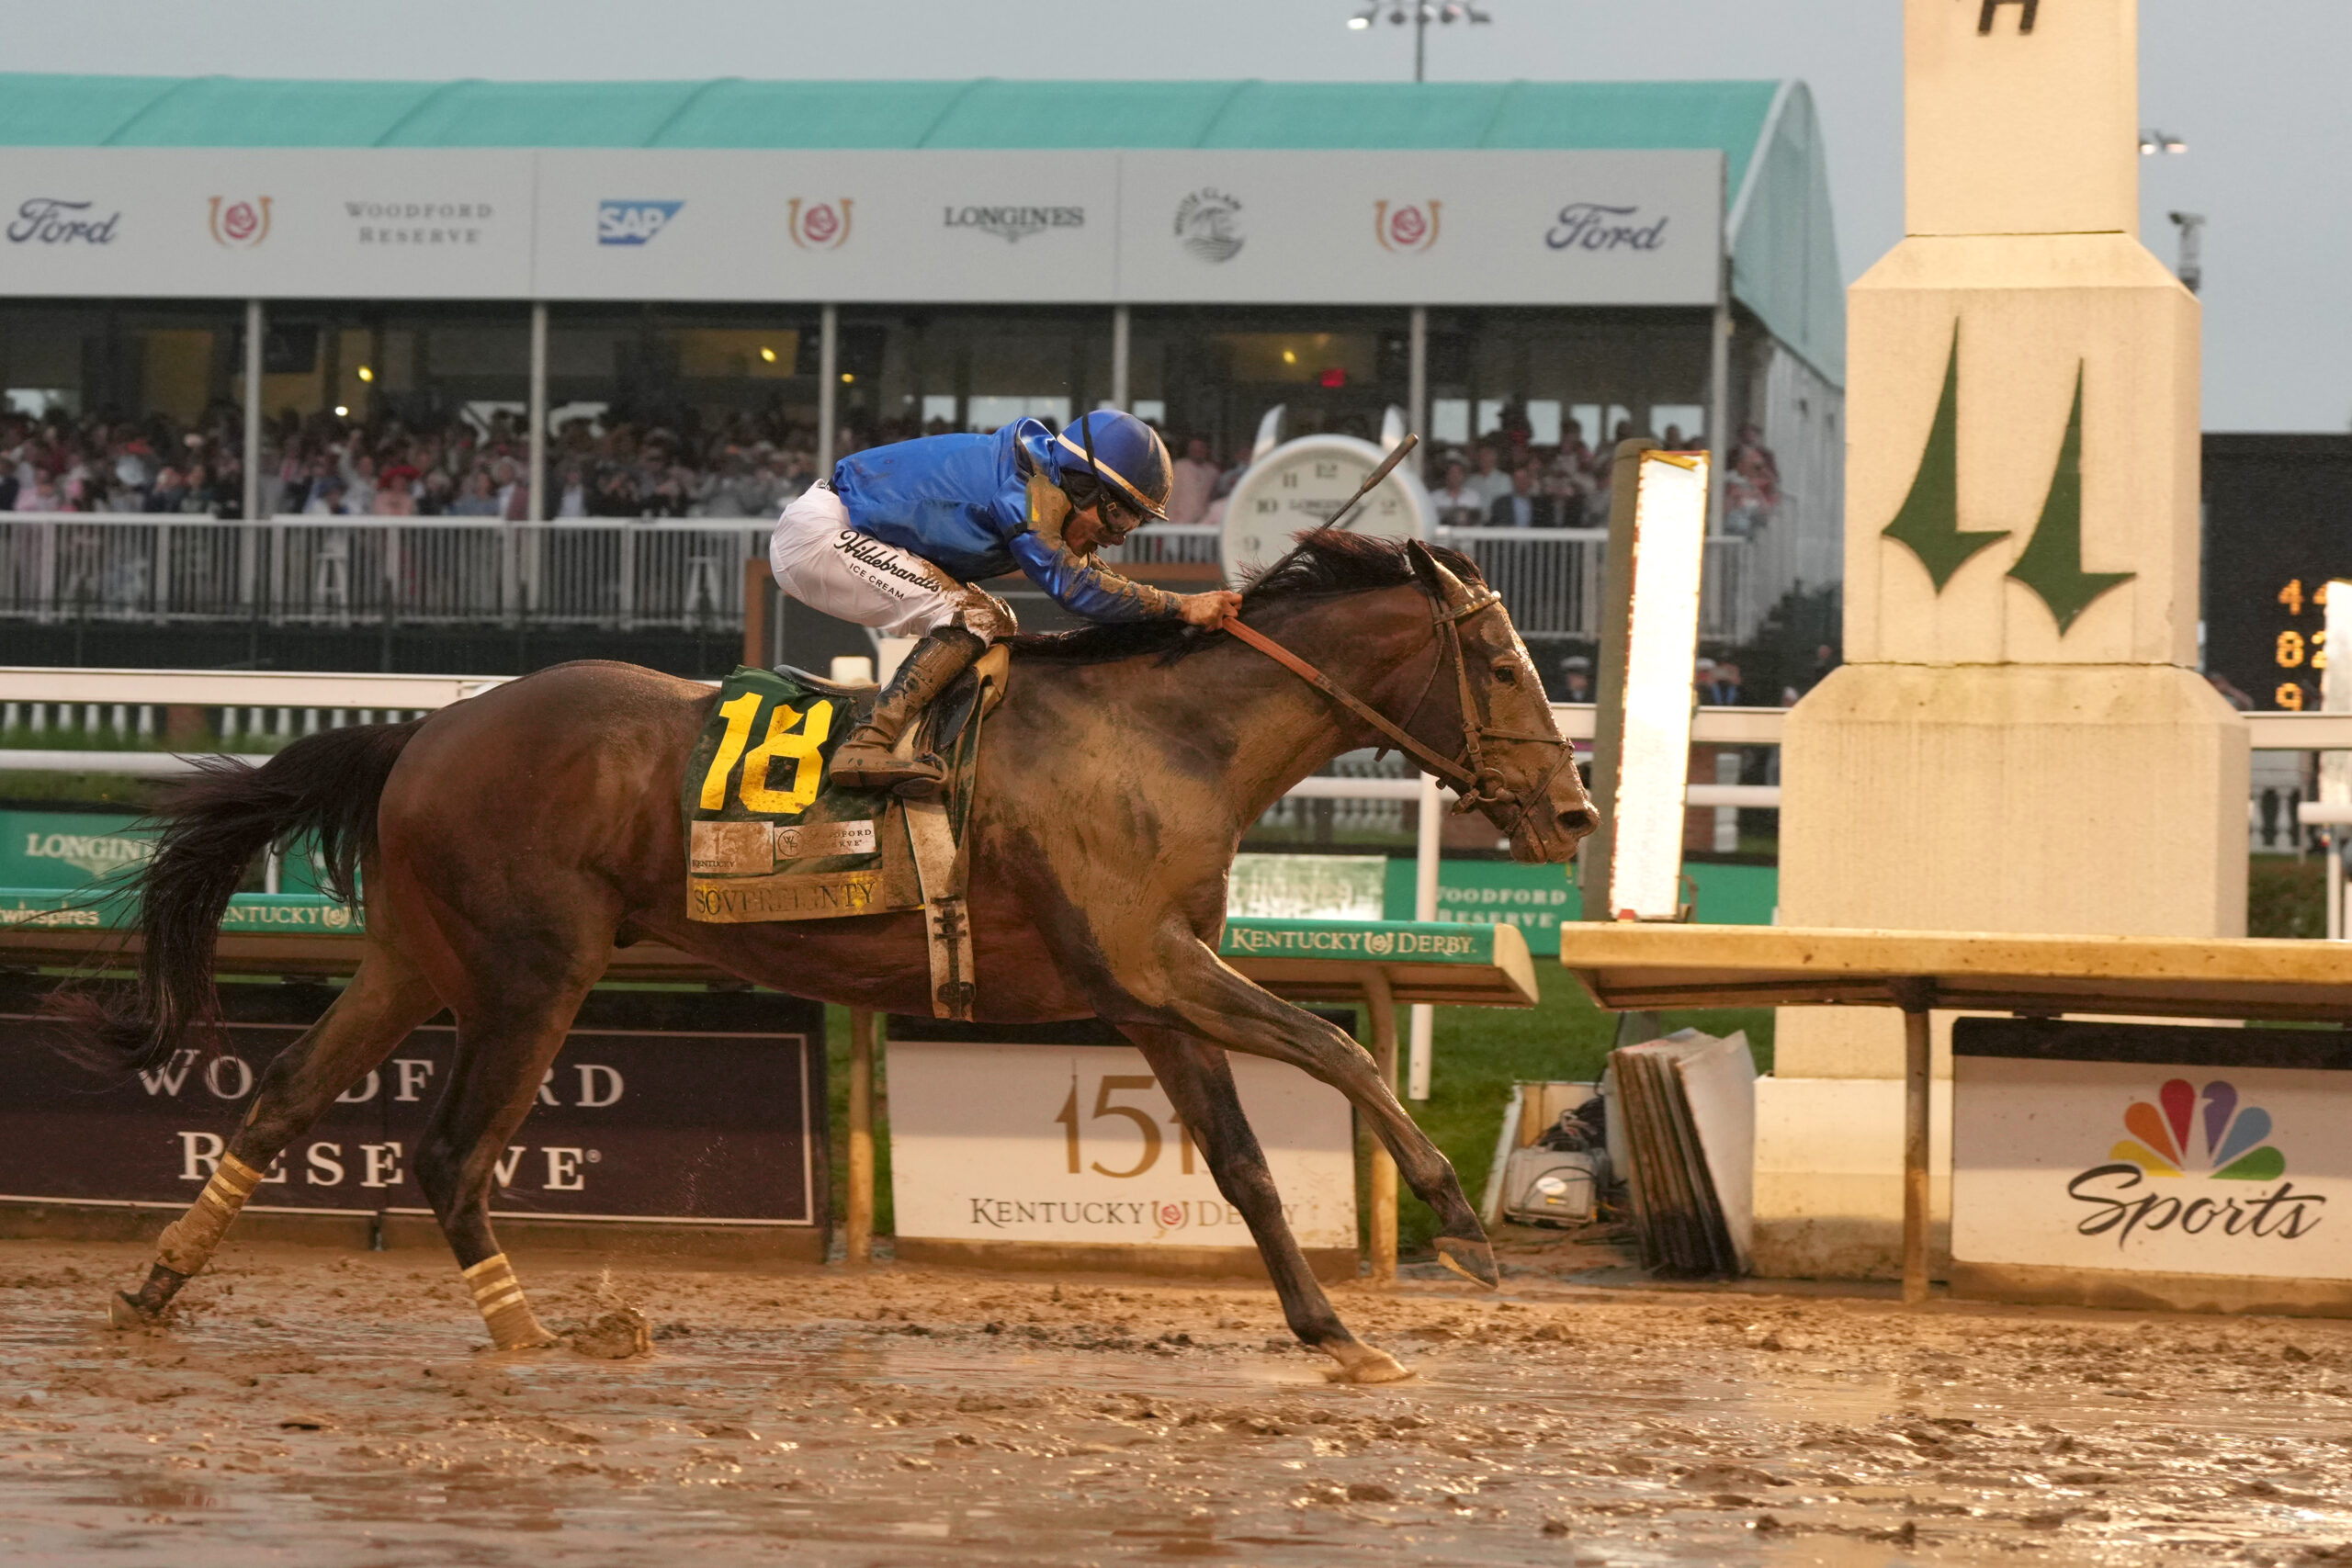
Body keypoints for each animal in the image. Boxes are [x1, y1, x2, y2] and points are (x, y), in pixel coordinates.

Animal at [63, 532, 1597, 1384]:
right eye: (1504, 666)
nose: (1575, 807)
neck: (1166, 739)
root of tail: (427, 729)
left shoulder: (1148, 993)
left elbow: (1247, 1166)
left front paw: (1333, 1330)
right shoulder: (1154, 967)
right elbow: (1341, 1046)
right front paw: (1457, 1222)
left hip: (411, 962)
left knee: (278, 1099)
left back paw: (152, 1288)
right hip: (531, 974)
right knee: (447, 1152)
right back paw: (531, 1333)